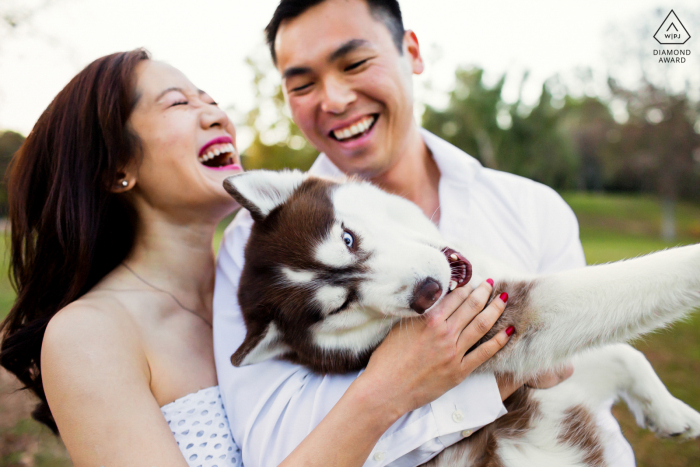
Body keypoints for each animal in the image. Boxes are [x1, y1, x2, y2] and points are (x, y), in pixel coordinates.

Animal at [223, 170, 700, 466]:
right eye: (342, 305)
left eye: (347, 238)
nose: (426, 292)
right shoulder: (522, 327)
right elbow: (640, 280)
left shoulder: (544, 376)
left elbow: (623, 355)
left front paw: (670, 413)